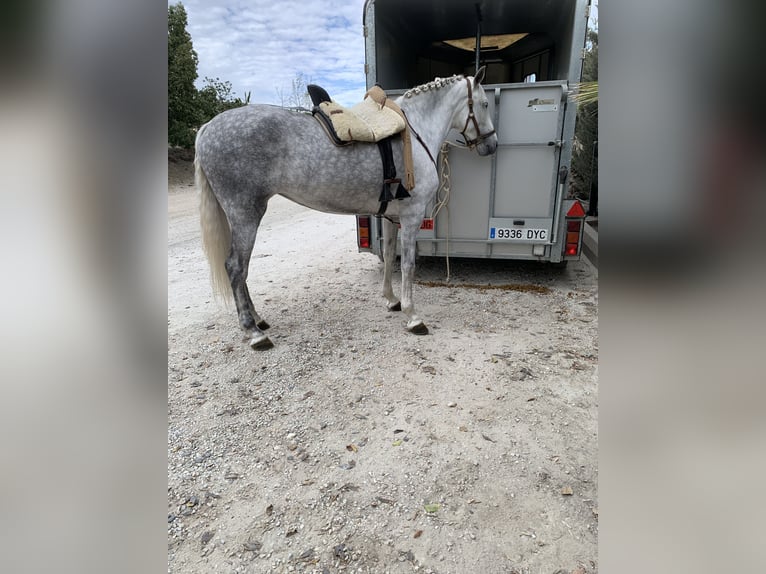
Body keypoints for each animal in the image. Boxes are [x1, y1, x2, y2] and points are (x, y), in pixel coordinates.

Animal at [195, 65, 500, 348]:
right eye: (485, 104)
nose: (492, 145)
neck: (415, 132)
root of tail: (207, 128)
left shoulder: (391, 217)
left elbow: (390, 256)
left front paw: (392, 300)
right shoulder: (412, 217)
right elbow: (408, 265)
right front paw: (413, 317)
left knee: (241, 269)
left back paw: (258, 320)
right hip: (246, 214)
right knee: (236, 267)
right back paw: (254, 333)